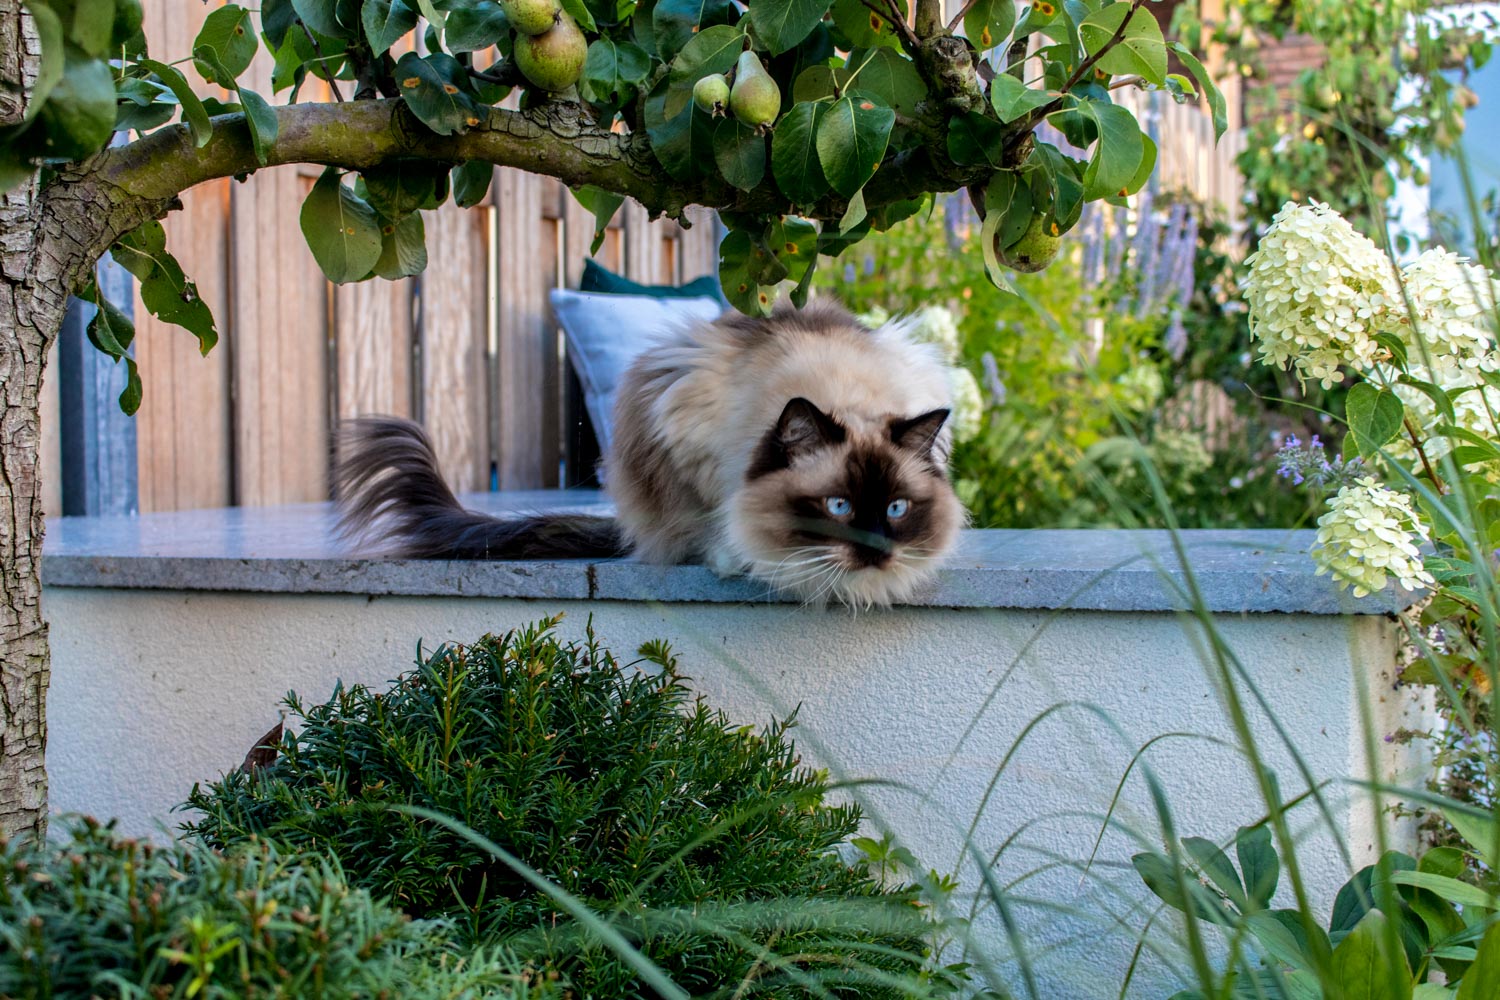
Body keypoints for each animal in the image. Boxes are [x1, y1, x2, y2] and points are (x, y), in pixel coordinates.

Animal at [336, 299, 966, 611]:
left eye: (896, 510)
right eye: (838, 507)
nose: (875, 551)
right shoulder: (681, 421)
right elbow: (714, 531)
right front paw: (739, 557)